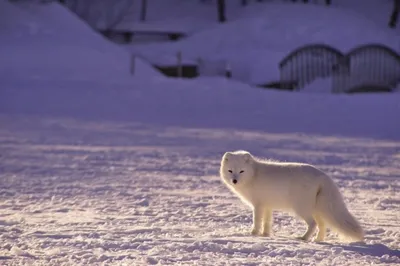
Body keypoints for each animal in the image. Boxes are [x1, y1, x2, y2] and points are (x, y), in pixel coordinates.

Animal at [220, 151, 364, 242]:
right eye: (230, 171)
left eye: (241, 171)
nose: (234, 181)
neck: (254, 175)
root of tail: (323, 176)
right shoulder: (267, 205)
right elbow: (267, 222)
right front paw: (265, 235)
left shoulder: (258, 205)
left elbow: (257, 221)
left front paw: (253, 234)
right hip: (316, 209)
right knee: (322, 225)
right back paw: (318, 240)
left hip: (301, 208)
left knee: (313, 224)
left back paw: (304, 238)